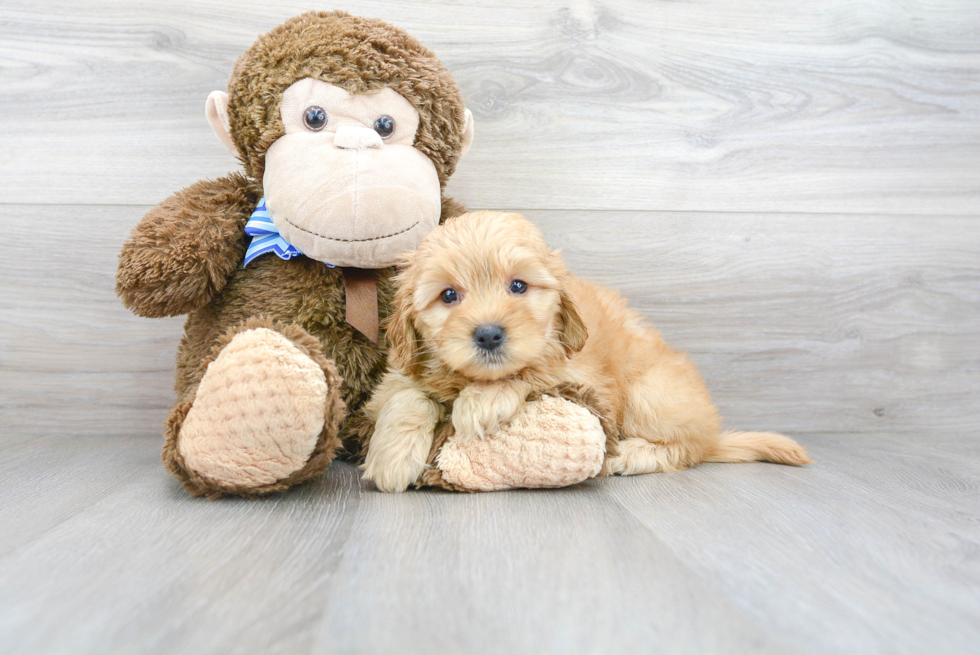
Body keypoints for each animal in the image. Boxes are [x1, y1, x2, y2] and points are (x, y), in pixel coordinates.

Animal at [364, 213, 808, 494]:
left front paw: (481, 402)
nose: (489, 335)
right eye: (448, 295)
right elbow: (407, 396)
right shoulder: (399, 373)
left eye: (518, 286)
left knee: (689, 447)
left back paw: (630, 453)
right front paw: (392, 456)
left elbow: (530, 371)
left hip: (650, 393)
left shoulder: (582, 375)